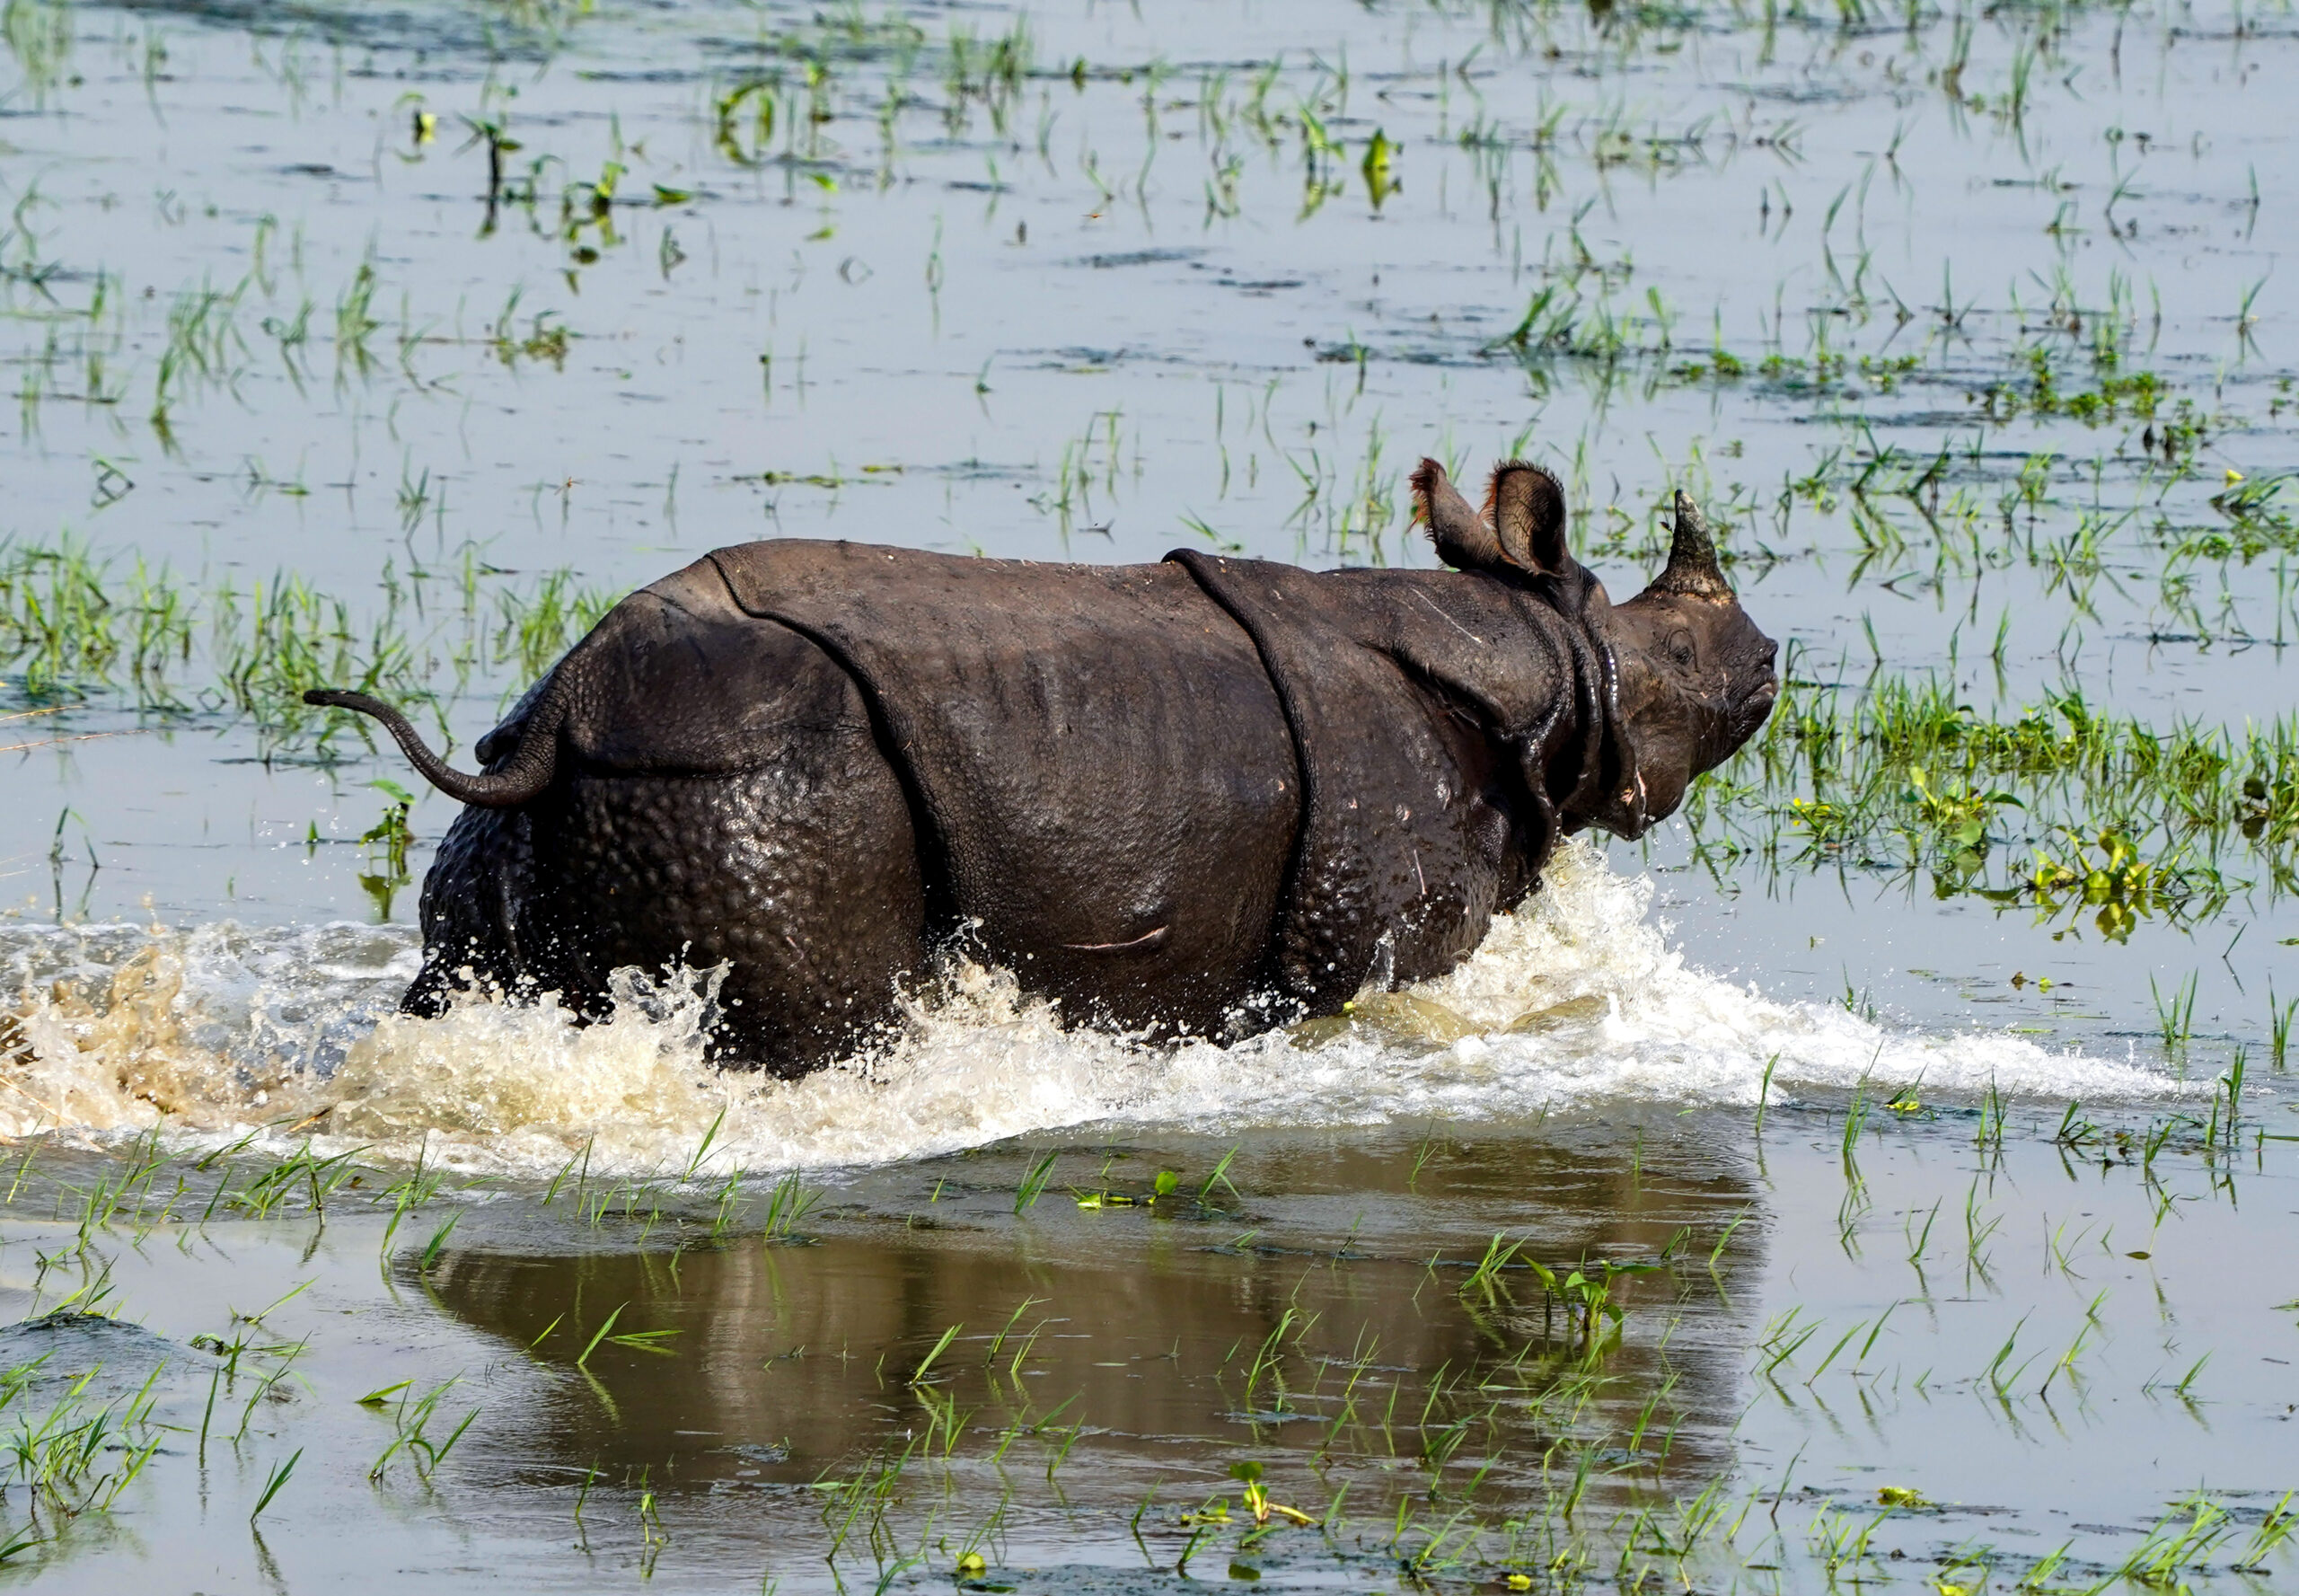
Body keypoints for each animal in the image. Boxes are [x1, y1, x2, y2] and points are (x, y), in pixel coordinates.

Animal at [308, 461, 1776, 1076]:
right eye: (1683, 654)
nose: (1770, 659)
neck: (1549, 661)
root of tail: (569, 713)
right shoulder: (1370, 930)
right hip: (754, 784)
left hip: (556, 788)